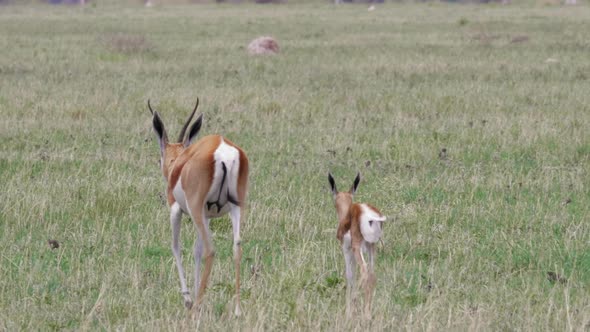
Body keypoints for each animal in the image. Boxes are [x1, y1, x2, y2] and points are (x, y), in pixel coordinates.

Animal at [150, 99, 250, 316]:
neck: (178, 165)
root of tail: (222, 150)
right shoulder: (207, 217)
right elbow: (196, 250)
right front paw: (197, 295)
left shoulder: (176, 210)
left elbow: (176, 246)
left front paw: (189, 299)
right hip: (236, 208)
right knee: (236, 247)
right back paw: (237, 310)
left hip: (195, 209)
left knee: (210, 251)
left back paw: (195, 307)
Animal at [328, 172, 388, 318]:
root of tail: (371, 216)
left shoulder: (347, 249)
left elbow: (349, 275)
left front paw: (349, 311)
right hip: (372, 247)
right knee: (372, 274)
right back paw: (368, 313)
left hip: (357, 248)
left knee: (364, 271)